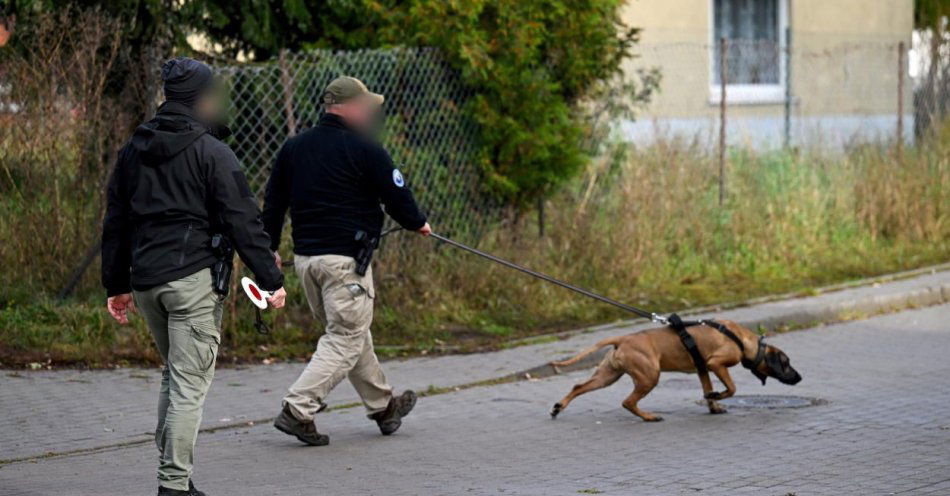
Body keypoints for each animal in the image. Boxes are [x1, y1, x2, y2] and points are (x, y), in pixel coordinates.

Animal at [552, 320, 804, 420]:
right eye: (786, 363)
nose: (800, 377)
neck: (743, 340)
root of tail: (622, 338)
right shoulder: (715, 364)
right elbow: (732, 388)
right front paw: (717, 396)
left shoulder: (703, 369)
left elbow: (707, 388)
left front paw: (713, 404)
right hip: (650, 376)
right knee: (627, 402)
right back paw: (649, 417)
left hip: (607, 376)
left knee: (578, 386)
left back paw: (558, 407)